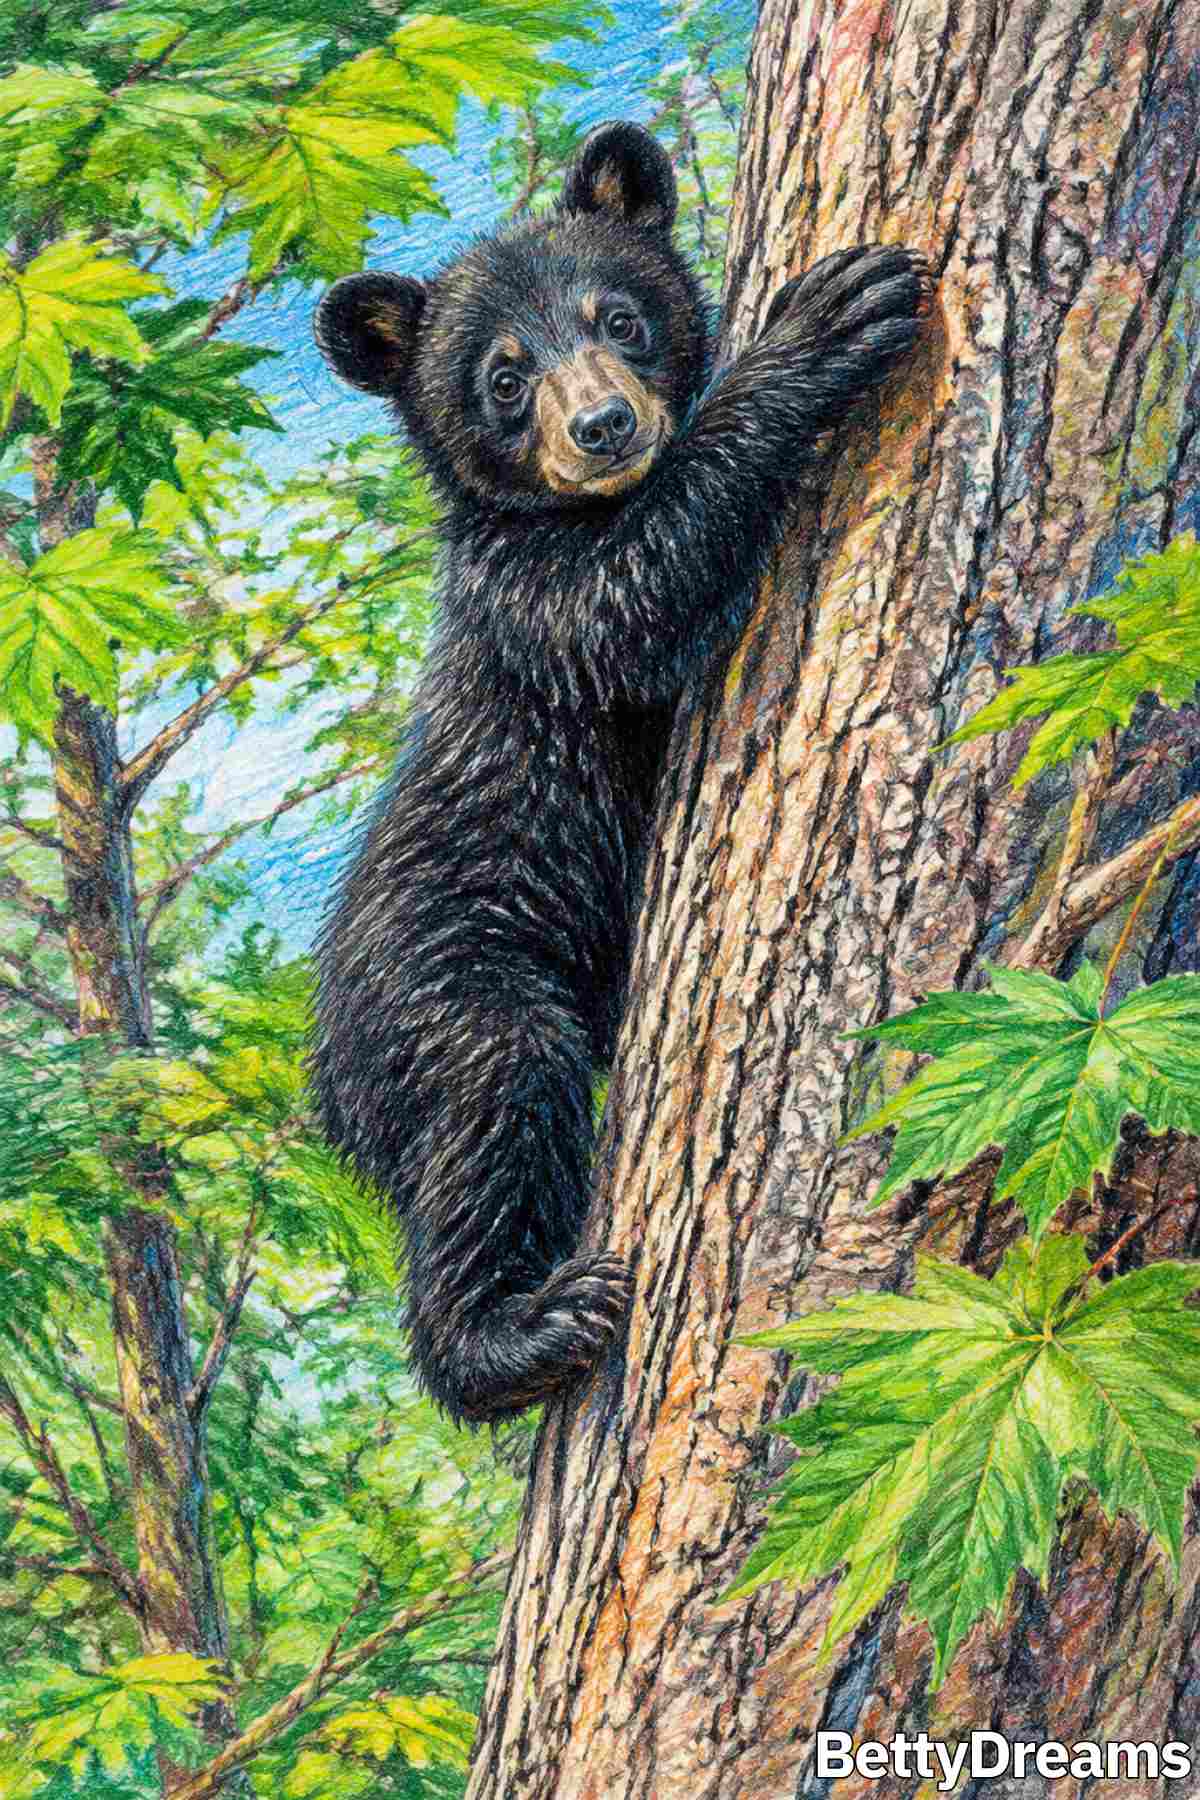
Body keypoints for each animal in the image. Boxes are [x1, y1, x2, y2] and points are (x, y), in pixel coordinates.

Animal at [311, 120, 928, 1423]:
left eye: (621, 317)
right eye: (502, 376)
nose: (599, 424)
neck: (559, 509)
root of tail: (328, 1089)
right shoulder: (523, 598)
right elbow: (635, 591)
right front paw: (826, 323)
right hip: (437, 992)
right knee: (493, 1099)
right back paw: (515, 1333)